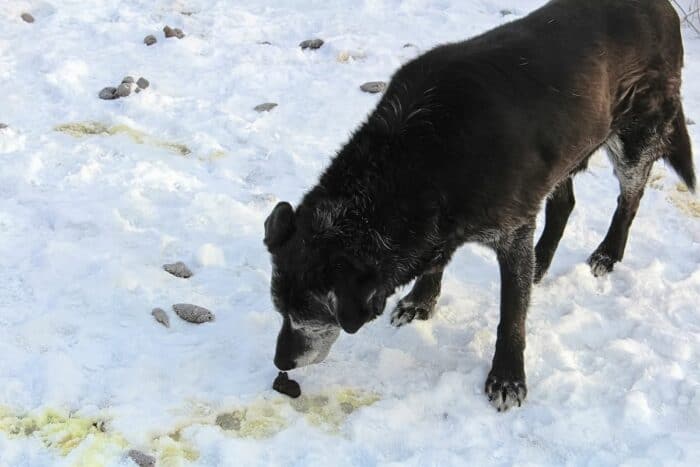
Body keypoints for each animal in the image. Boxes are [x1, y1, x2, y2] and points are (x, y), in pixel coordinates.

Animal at [262, 0, 696, 412]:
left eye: (310, 314)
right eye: (280, 310)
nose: (280, 361)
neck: (420, 157)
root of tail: (665, 9)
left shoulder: (513, 232)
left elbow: (511, 317)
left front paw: (507, 378)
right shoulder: (443, 223)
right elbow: (436, 263)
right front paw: (420, 301)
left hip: (635, 141)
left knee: (629, 200)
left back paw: (607, 253)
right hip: (566, 150)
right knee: (564, 204)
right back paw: (542, 262)